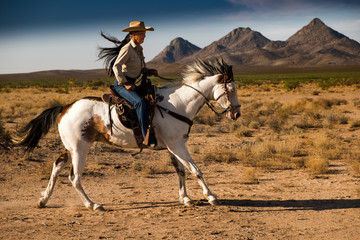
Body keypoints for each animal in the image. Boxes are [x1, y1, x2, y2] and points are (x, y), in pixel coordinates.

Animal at [18, 58, 240, 210]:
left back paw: (43, 199)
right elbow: (195, 170)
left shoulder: (172, 145)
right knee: (74, 177)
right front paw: (211, 196)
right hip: (80, 149)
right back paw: (93, 204)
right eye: (230, 90)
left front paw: (185, 198)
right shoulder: (177, 144)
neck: (179, 103)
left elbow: (181, 171)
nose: (236, 113)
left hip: (70, 148)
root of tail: (65, 107)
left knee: (56, 167)